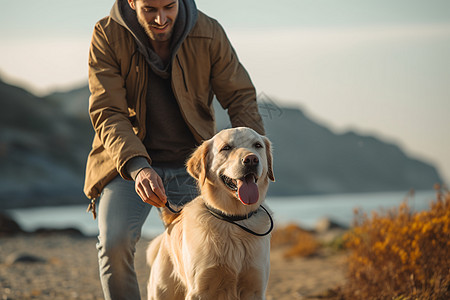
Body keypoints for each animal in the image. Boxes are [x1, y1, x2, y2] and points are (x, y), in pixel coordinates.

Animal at [147, 127, 274, 300]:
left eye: (257, 145)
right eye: (226, 148)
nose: (252, 159)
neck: (233, 220)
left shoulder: (254, 288)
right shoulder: (199, 290)